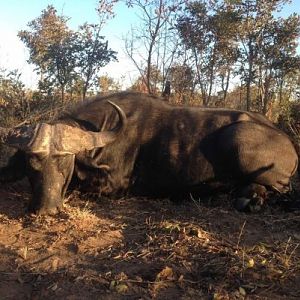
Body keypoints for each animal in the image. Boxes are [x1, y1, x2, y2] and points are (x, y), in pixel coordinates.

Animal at [0, 91, 298, 213]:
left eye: (65, 162)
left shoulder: (113, 185)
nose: (45, 209)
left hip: (237, 140)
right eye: (32, 164)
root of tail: (288, 144)